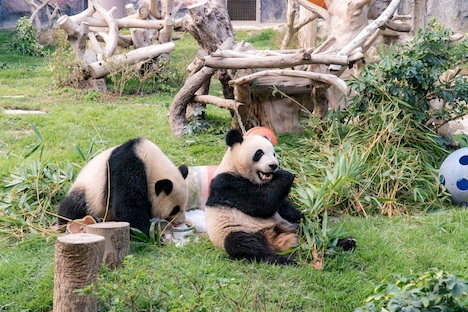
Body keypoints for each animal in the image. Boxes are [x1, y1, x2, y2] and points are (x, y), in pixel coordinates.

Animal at [205, 129, 304, 266]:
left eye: (274, 154)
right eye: (259, 153)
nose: (274, 165)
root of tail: (274, 239)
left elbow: (282, 205)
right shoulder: (227, 185)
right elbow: (261, 203)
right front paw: (285, 174)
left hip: (288, 225)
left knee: (302, 227)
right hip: (235, 230)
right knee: (242, 243)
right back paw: (282, 259)